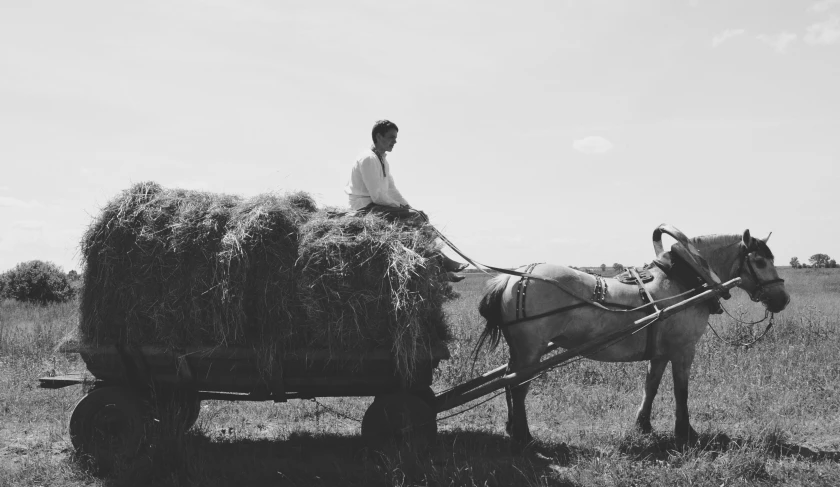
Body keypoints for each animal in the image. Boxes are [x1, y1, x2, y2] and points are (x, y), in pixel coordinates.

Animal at [476, 231, 792, 448]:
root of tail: (514, 277)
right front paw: (685, 432)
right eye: (760, 261)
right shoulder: (683, 349)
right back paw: (524, 435)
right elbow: (681, 391)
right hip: (531, 349)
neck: (683, 280)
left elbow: (651, 386)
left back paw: (511, 427)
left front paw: (643, 425)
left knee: (508, 380)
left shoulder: (660, 352)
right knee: (518, 386)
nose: (783, 299)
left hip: (520, 350)